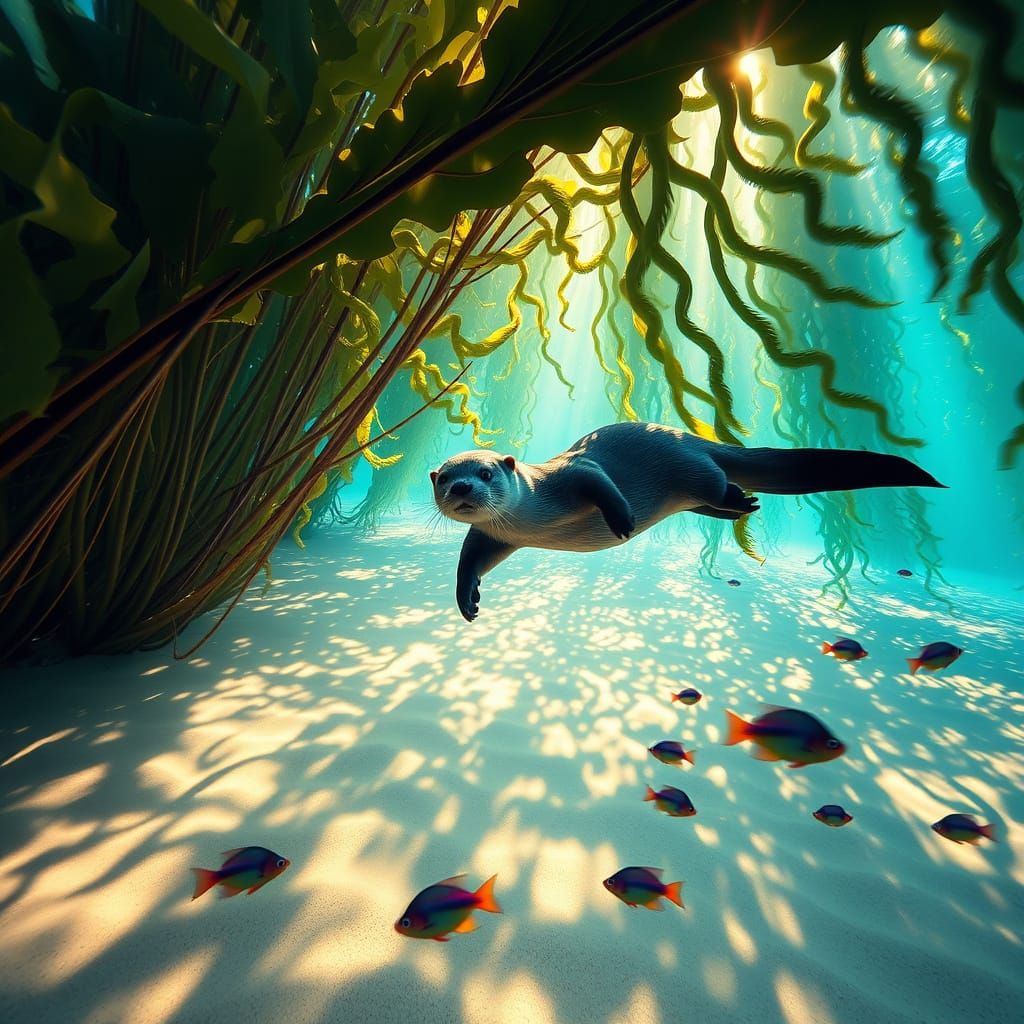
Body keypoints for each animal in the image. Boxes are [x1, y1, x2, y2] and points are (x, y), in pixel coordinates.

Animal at [429, 422, 945, 621]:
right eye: (444, 478)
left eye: (486, 472)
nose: (462, 490)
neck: (535, 515)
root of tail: (695, 437)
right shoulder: (498, 534)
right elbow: (470, 559)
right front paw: (468, 599)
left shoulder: (569, 473)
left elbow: (599, 481)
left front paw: (621, 518)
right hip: (687, 494)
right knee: (710, 503)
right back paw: (745, 504)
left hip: (690, 466)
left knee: (716, 482)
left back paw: (738, 496)